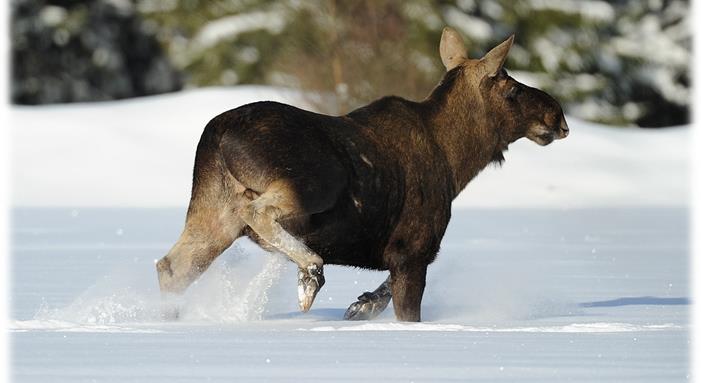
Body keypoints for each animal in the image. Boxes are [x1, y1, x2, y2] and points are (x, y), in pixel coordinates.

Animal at [156, 27, 568, 322]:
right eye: (512, 89)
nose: (558, 116)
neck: (458, 164)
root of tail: (217, 134)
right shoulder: (412, 249)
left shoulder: (404, 253)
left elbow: (380, 292)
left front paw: (362, 305)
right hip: (314, 184)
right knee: (257, 213)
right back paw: (310, 274)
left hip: (212, 213)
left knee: (171, 267)